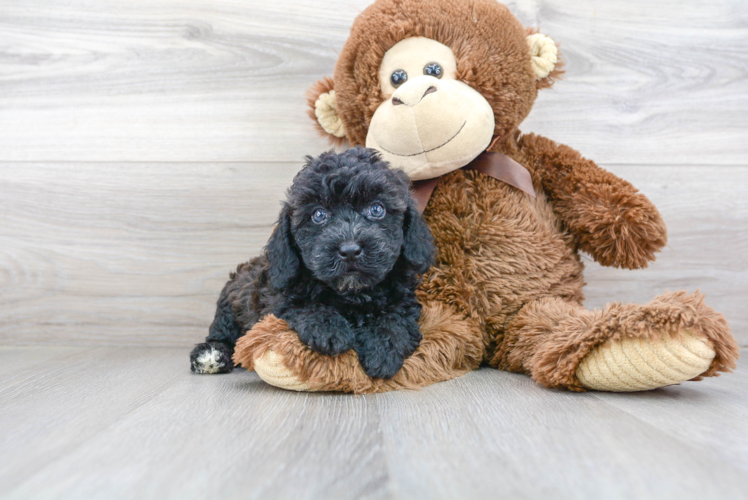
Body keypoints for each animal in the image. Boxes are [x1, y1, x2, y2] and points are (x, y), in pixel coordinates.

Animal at [190, 147, 436, 378]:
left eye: (377, 209)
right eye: (319, 215)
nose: (349, 250)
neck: (352, 295)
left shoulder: (404, 300)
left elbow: (396, 318)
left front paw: (382, 350)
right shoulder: (277, 300)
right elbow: (303, 306)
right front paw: (330, 330)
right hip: (229, 307)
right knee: (222, 334)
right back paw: (211, 354)